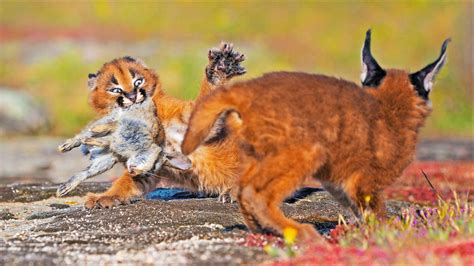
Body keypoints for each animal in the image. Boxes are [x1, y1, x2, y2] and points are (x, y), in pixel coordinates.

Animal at [84, 43, 246, 208]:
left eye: (138, 82)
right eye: (115, 90)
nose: (132, 96)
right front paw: (104, 197)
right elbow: (127, 181)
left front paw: (220, 68)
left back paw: (231, 193)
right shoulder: (148, 160)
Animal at [182, 30, 452, 242]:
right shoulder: (366, 181)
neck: (389, 105)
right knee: (253, 192)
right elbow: (376, 212)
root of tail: (249, 89)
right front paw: (387, 235)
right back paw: (298, 231)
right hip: (306, 149)